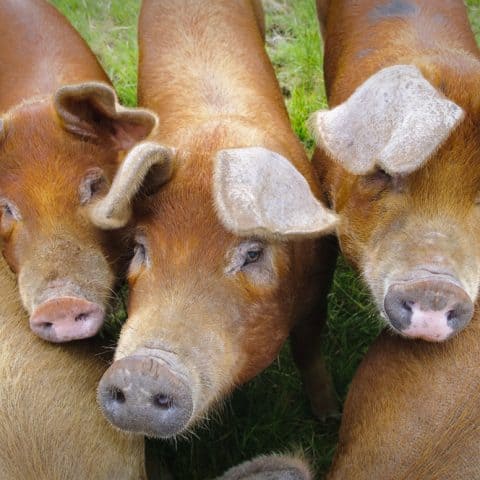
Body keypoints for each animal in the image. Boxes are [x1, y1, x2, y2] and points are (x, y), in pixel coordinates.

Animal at [88, 0, 340, 436]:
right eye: (140, 248)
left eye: (253, 253)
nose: (144, 371)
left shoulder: (318, 284)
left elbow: (308, 348)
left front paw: (329, 416)